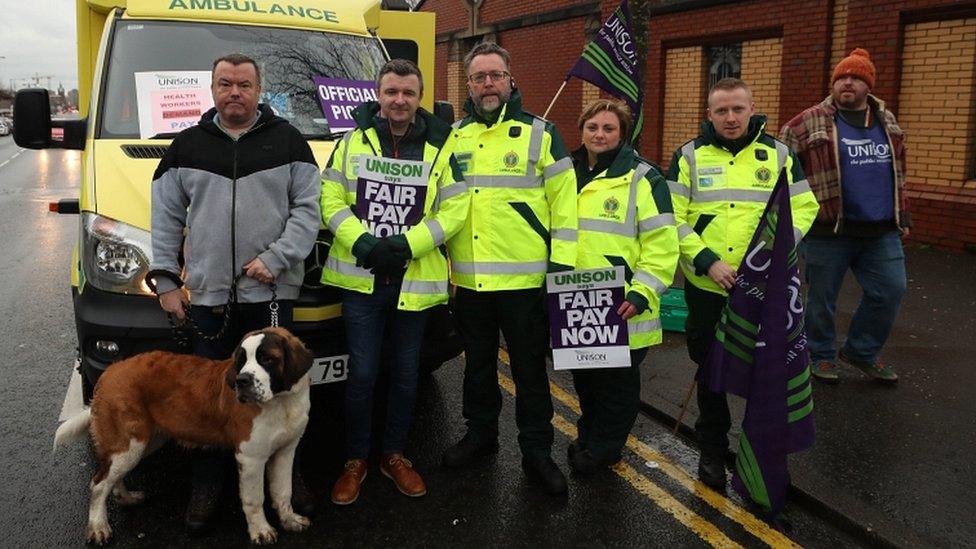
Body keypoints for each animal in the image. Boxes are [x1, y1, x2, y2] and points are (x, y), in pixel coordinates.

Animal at [54, 326, 312, 544]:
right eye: (241, 362)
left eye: (267, 359)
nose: (242, 381)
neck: (281, 402)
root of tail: (111, 370)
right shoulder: (251, 458)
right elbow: (254, 498)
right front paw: (261, 531)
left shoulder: (286, 451)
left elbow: (283, 490)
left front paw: (289, 519)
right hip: (128, 443)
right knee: (98, 483)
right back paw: (99, 526)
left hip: (142, 443)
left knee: (112, 475)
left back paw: (125, 497)